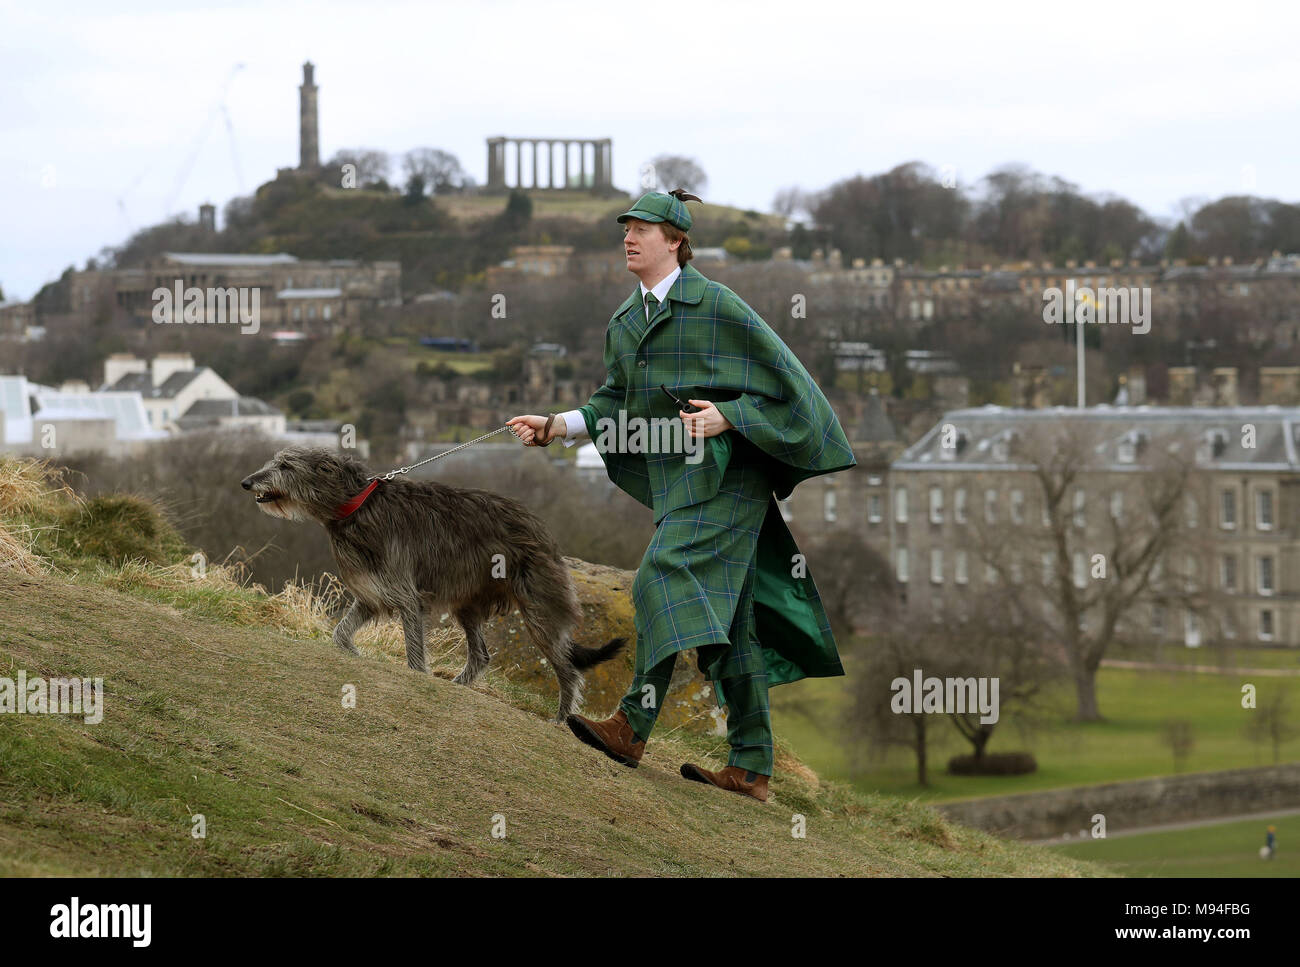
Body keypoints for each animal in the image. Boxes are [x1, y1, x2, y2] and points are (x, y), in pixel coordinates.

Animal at [244, 444, 629, 717]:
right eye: (276, 461)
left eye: (286, 466)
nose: (247, 482)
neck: (358, 507)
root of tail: (542, 530)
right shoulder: (371, 595)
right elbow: (340, 633)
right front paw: (355, 653)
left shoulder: (407, 596)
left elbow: (414, 655)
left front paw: (416, 678)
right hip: (469, 604)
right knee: (481, 655)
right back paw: (458, 685)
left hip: (538, 608)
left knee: (567, 668)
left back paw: (562, 718)